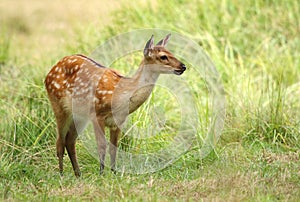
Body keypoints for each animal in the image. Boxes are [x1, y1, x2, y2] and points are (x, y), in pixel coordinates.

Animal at [44, 34, 186, 176]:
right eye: (163, 56)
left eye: (171, 52)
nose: (183, 66)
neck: (121, 96)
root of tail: (48, 74)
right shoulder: (97, 114)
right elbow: (102, 146)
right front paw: (101, 174)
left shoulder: (118, 121)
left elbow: (114, 147)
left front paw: (114, 172)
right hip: (58, 105)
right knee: (60, 141)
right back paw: (61, 174)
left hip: (79, 116)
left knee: (70, 141)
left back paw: (78, 174)